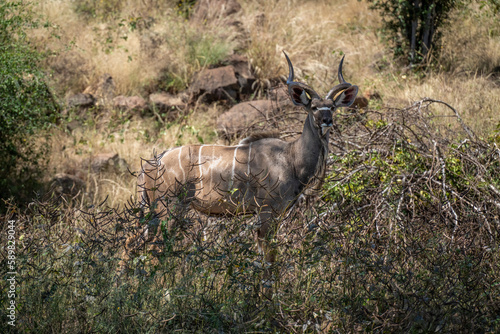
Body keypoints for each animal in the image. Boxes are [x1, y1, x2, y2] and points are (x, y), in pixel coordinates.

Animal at [133, 51, 360, 276]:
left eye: (332, 107)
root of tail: (152, 163)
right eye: (313, 107)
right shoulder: (268, 211)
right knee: (155, 248)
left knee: (135, 244)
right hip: (169, 208)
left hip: (155, 212)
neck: (291, 158)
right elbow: (269, 260)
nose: (327, 120)